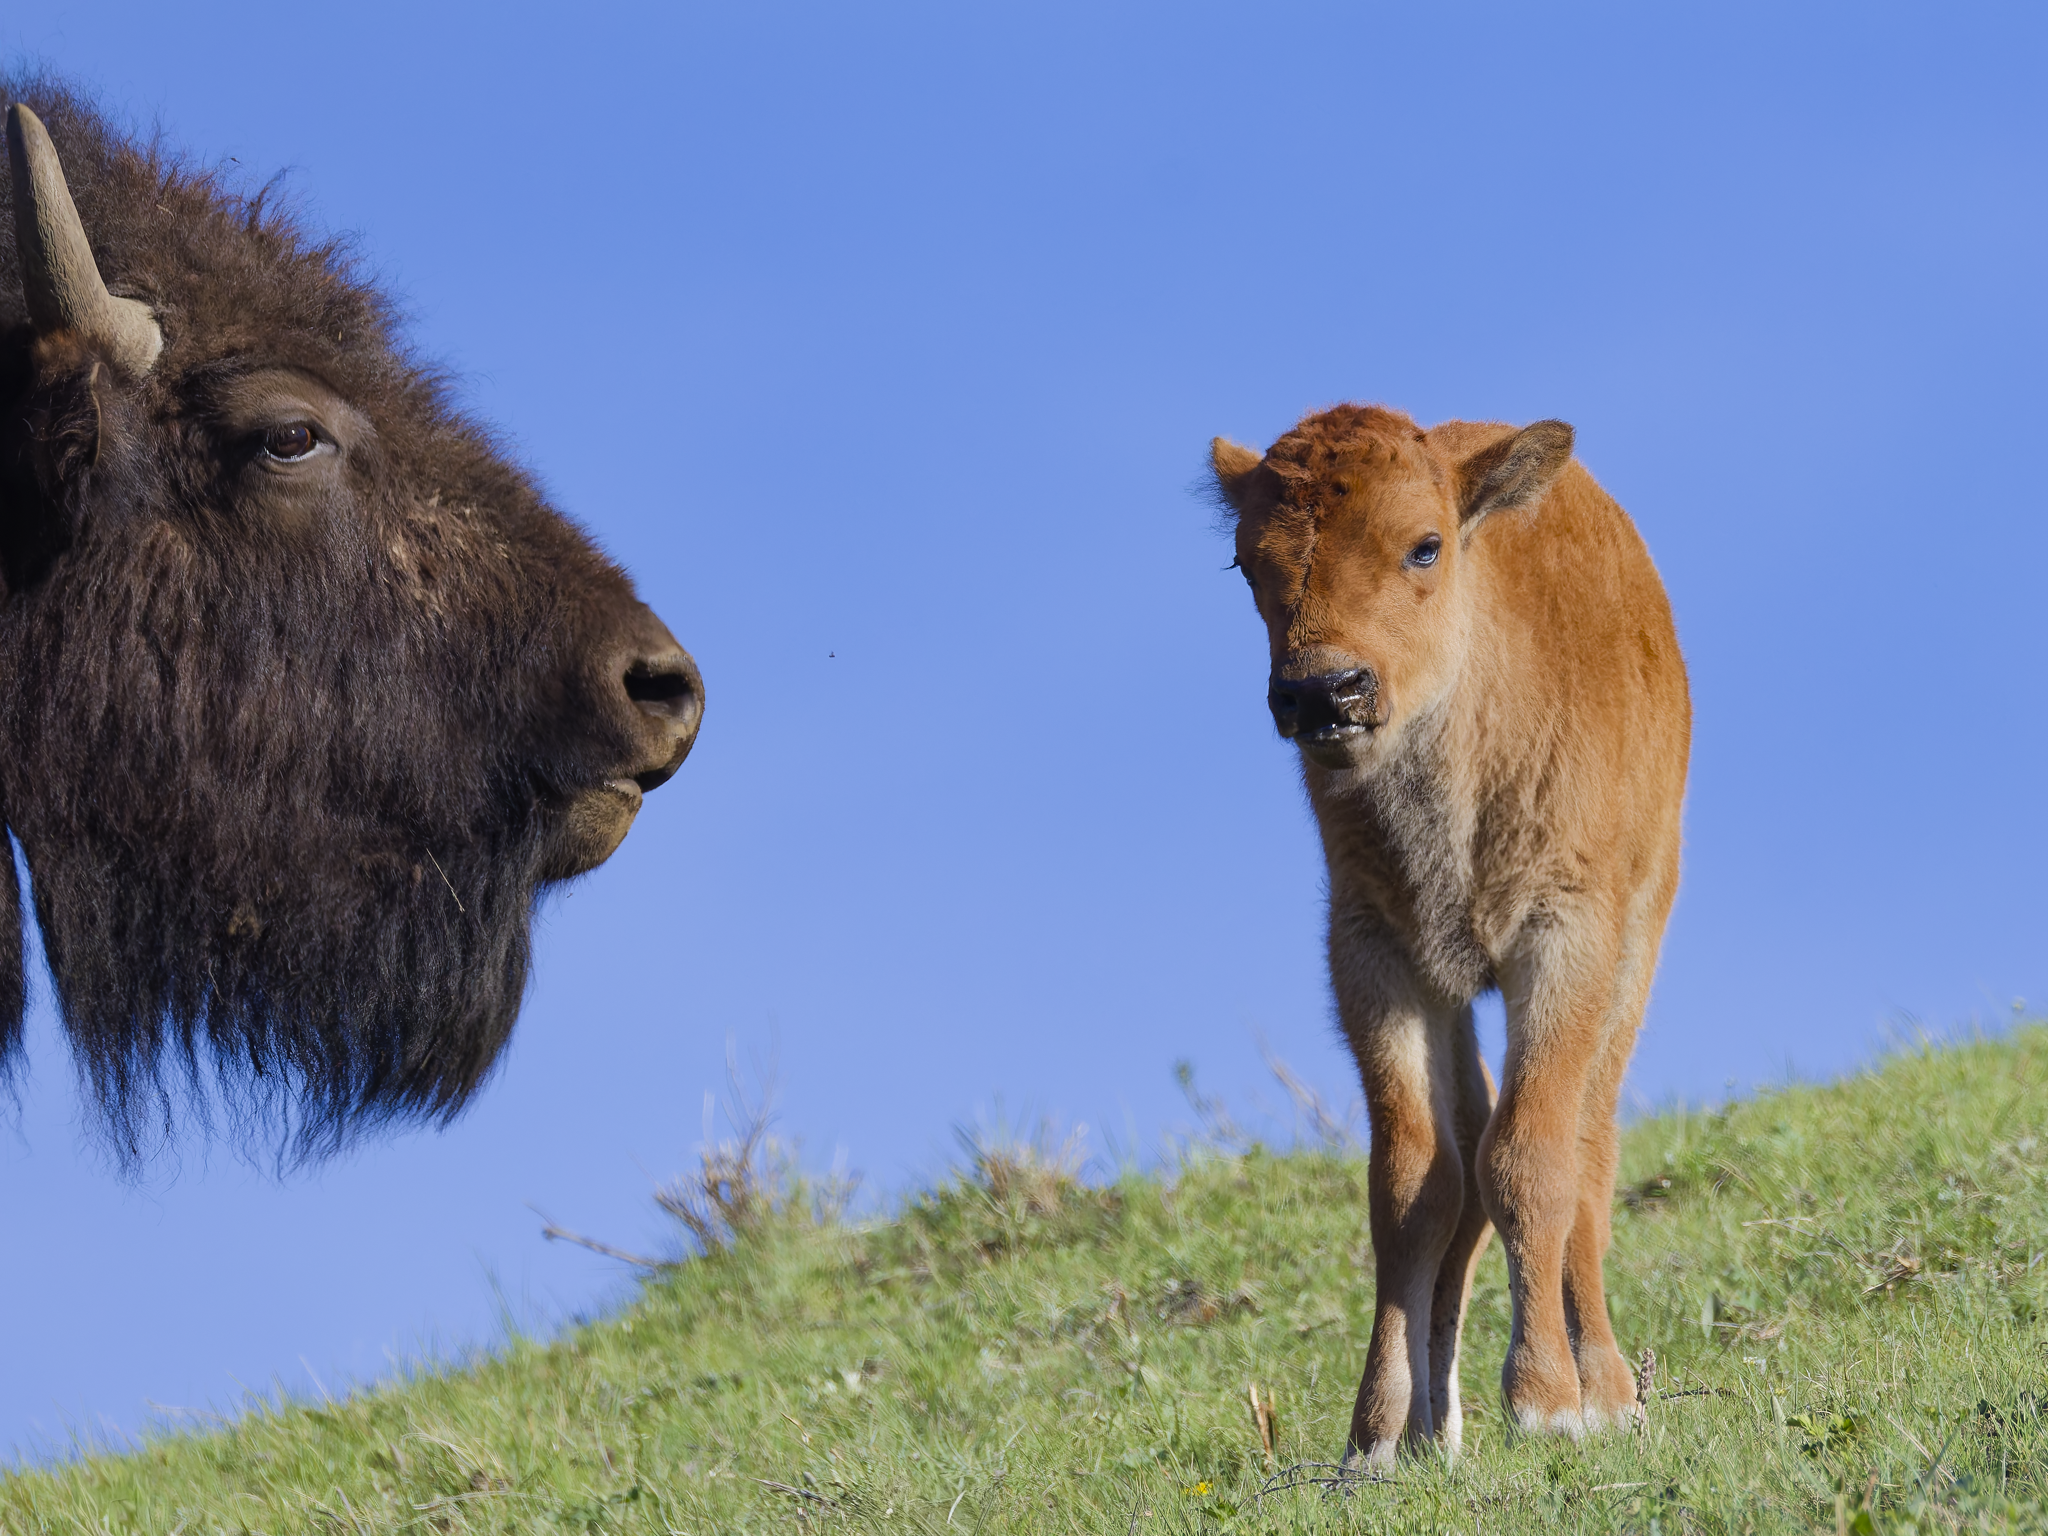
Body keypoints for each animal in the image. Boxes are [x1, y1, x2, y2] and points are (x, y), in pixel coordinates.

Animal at [1212, 406, 1689, 1464]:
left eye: (1423, 545)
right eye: (1246, 561)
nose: (1323, 692)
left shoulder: (1563, 940)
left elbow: (1531, 1159)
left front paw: (1551, 1402)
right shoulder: (1380, 960)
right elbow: (1415, 1187)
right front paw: (1379, 1440)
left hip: (1638, 939)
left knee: (1586, 1146)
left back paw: (1607, 1384)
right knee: (1465, 1166)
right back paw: (1440, 1425)